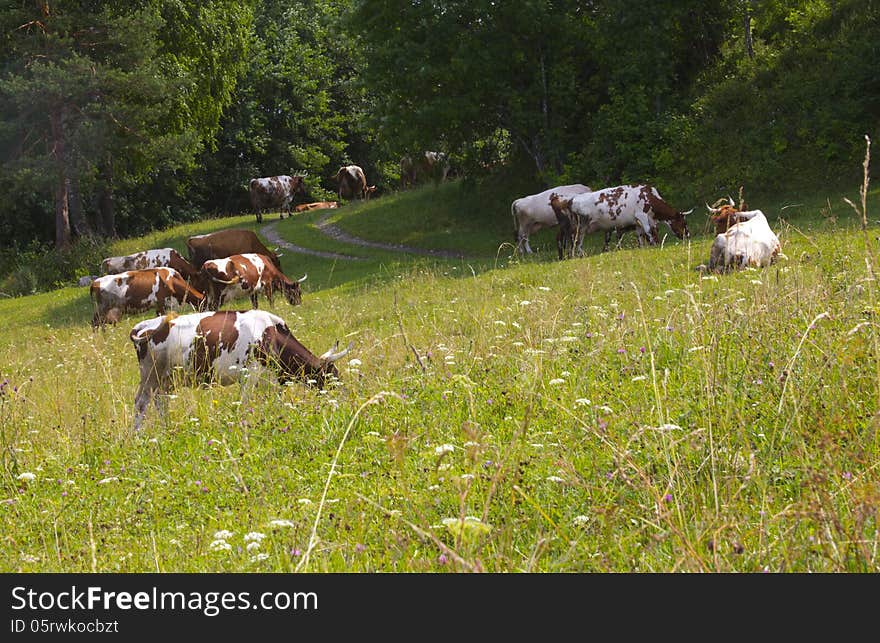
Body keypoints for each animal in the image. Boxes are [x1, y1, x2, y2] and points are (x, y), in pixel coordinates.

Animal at [131, 310, 350, 430]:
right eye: (331, 376)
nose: (345, 397)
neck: (272, 334)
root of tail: (143, 325)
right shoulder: (249, 373)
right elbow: (244, 404)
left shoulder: (269, 380)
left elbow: (276, 402)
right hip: (151, 375)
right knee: (141, 403)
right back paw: (138, 435)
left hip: (166, 379)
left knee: (161, 402)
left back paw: (167, 428)